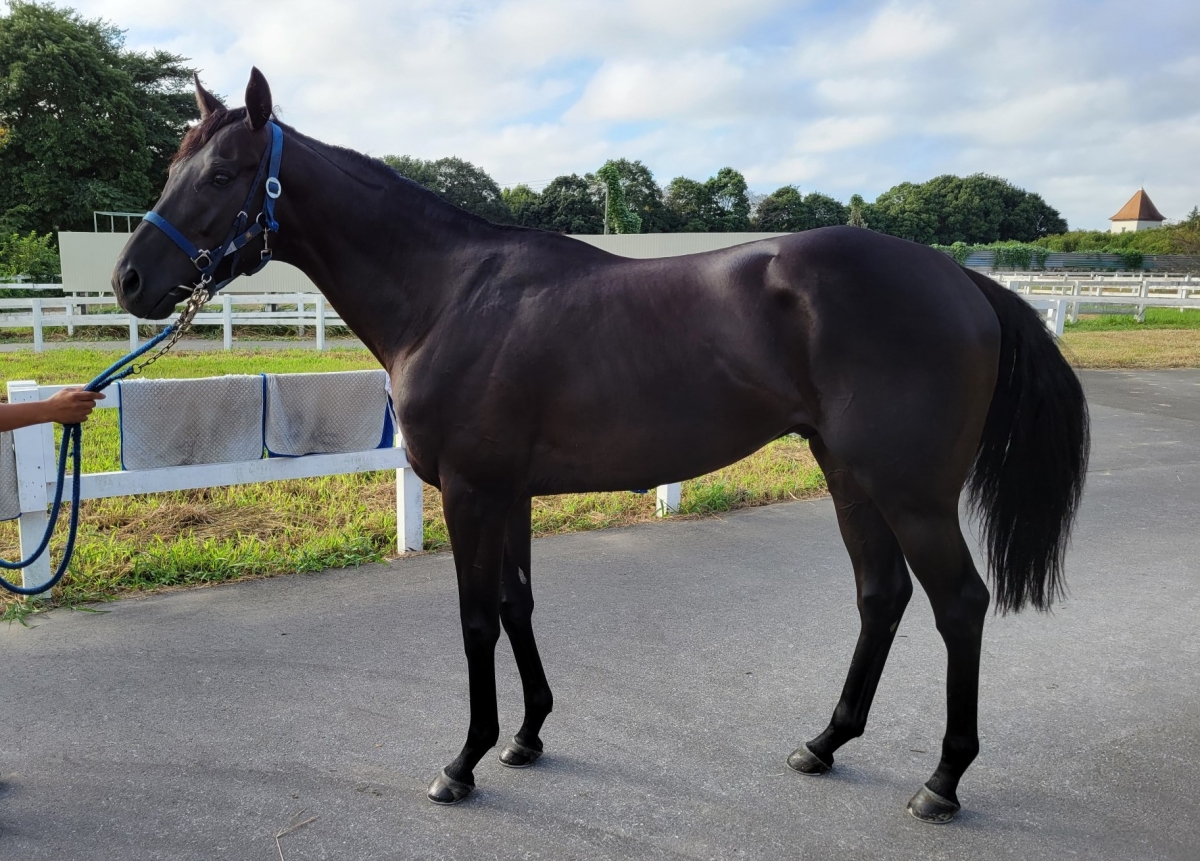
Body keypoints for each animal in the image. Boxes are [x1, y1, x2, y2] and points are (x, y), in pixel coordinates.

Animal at [112, 69, 1089, 823]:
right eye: (171, 165)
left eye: (225, 172)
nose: (129, 280)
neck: (447, 293)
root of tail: (959, 276)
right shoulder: (508, 491)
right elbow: (517, 604)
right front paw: (527, 734)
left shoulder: (470, 489)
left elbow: (475, 617)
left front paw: (464, 760)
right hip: (851, 475)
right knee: (880, 597)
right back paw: (824, 741)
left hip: (912, 490)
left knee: (959, 604)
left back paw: (942, 781)